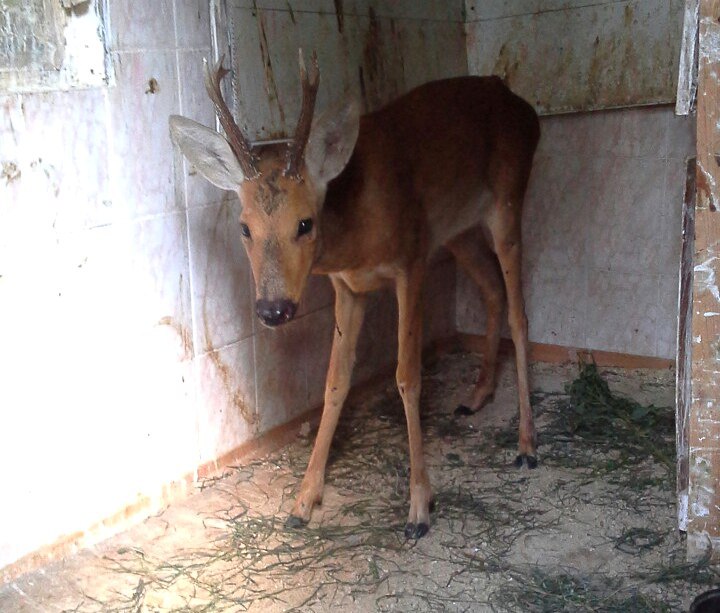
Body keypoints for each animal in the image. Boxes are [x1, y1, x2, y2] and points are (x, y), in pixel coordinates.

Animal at [170, 53, 540, 540]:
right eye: (244, 227)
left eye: (305, 223)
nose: (273, 308)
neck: (356, 232)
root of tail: (525, 108)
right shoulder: (347, 287)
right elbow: (335, 381)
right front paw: (303, 501)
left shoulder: (411, 261)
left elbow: (407, 376)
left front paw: (419, 507)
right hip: (458, 230)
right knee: (493, 290)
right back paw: (477, 395)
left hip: (508, 200)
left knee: (520, 313)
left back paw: (527, 443)